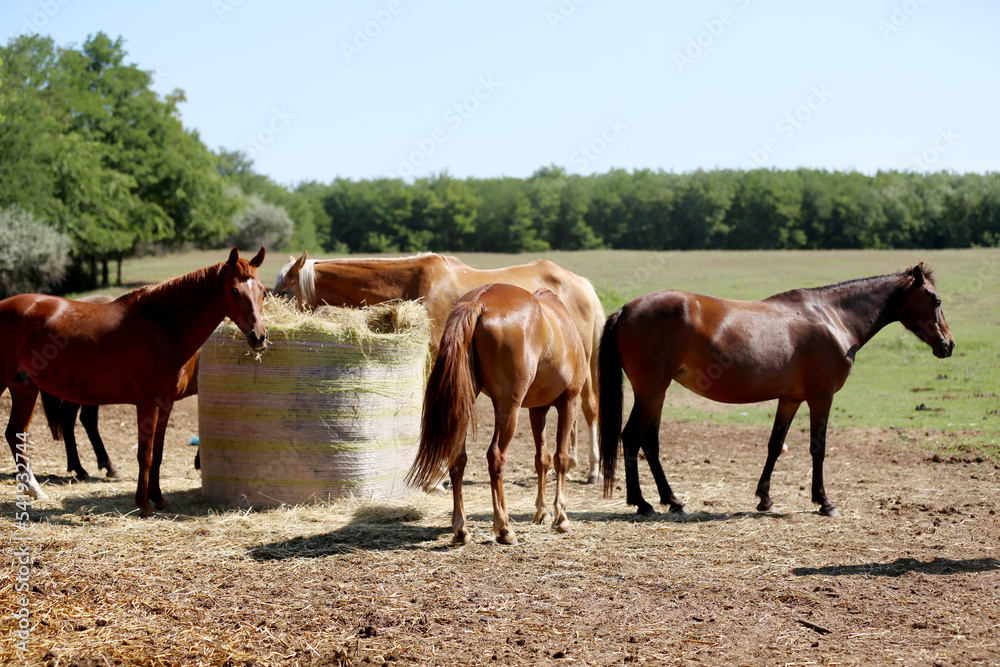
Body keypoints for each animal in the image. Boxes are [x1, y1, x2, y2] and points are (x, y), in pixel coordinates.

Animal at [270, 250, 604, 486]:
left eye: (285, 291)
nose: (266, 328)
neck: (415, 284)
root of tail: (580, 283)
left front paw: (437, 479)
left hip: (583, 365)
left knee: (589, 408)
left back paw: (593, 469)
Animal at [406, 284, 588, 544]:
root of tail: (479, 301)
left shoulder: (537, 409)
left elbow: (541, 459)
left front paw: (542, 513)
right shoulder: (569, 402)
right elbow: (560, 458)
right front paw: (560, 517)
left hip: (465, 402)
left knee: (458, 460)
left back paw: (461, 529)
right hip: (508, 408)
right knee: (496, 457)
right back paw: (504, 528)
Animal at [596, 264, 956, 520]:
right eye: (936, 300)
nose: (948, 345)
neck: (833, 317)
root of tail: (627, 309)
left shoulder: (791, 398)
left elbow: (774, 445)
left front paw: (765, 499)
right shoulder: (822, 396)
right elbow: (818, 448)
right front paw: (824, 502)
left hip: (657, 394)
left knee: (650, 443)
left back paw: (672, 501)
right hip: (651, 392)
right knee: (632, 437)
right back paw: (642, 503)